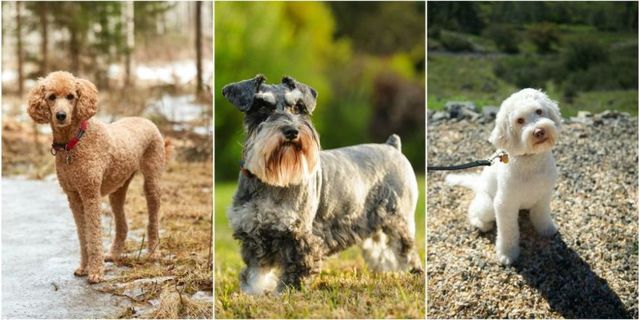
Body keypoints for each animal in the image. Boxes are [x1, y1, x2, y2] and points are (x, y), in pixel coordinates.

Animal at [448, 88, 564, 264]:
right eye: (520, 120)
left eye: (539, 111)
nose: (539, 131)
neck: (531, 161)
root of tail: (479, 185)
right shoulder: (505, 204)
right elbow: (508, 232)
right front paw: (507, 254)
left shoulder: (544, 196)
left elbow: (542, 215)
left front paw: (547, 229)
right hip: (487, 205)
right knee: (474, 212)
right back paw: (482, 224)